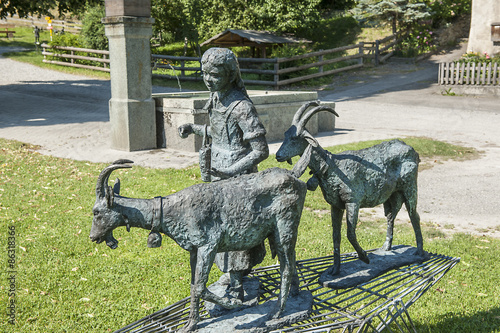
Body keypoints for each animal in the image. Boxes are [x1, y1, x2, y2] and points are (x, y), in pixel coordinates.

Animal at [91, 160, 306, 330]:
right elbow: (194, 285)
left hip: (284, 226)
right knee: (292, 259)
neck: (169, 210)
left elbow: (200, 288)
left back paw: (277, 312)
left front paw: (233, 303)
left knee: (286, 267)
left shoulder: (208, 246)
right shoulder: (194, 250)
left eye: (96, 212)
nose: (93, 237)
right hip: (281, 233)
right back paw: (295, 296)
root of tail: (295, 177)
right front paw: (190, 325)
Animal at [276, 101, 424, 274]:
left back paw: (419, 251)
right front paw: (335, 269)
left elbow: (350, 233)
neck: (332, 167)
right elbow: (336, 236)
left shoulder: (352, 201)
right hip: (393, 195)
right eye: (285, 135)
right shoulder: (335, 205)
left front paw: (364, 257)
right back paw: (386, 247)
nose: (278, 156)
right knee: (390, 216)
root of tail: (413, 151)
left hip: (410, 187)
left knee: (414, 215)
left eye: (295, 138)